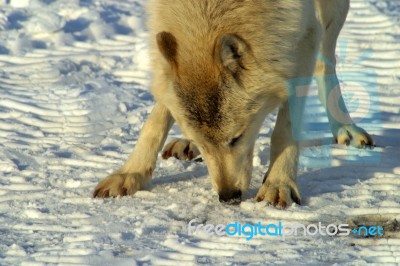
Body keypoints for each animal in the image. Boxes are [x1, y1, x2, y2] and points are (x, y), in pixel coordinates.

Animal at [93, 0, 372, 208]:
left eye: (237, 138)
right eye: (207, 146)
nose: (228, 197)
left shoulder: (303, 35)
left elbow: (285, 129)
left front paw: (278, 183)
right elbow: (155, 119)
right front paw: (130, 174)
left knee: (326, 61)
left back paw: (345, 128)